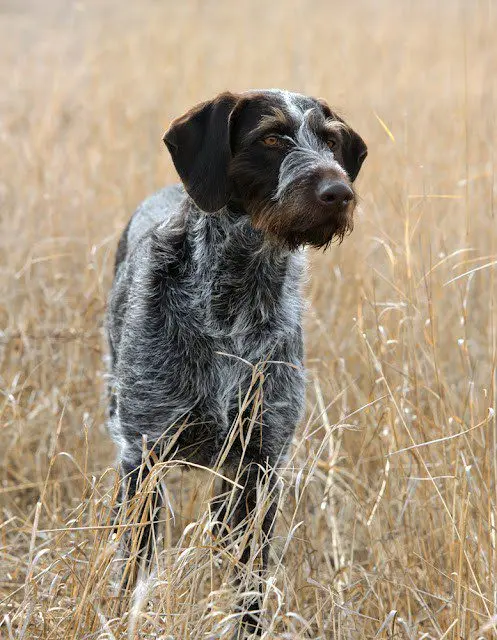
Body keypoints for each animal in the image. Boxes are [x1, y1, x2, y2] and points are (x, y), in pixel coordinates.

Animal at [105, 87, 364, 632]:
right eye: (270, 138)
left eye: (330, 141)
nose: (339, 193)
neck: (237, 299)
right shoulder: (144, 455)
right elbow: (135, 572)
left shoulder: (259, 465)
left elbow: (249, 584)